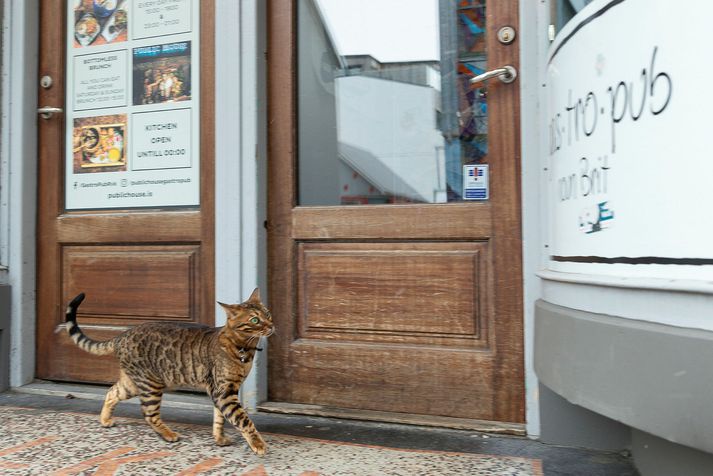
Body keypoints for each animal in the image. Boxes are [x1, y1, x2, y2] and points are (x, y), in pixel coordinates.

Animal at [63, 288, 272, 456]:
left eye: (268, 314)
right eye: (255, 320)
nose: (271, 325)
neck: (244, 348)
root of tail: (121, 336)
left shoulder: (222, 391)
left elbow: (219, 418)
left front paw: (219, 438)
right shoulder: (224, 392)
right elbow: (243, 420)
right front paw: (258, 444)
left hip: (132, 384)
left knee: (111, 392)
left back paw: (105, 419)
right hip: (150, 385)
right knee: (149, 414)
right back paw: (168, 434)